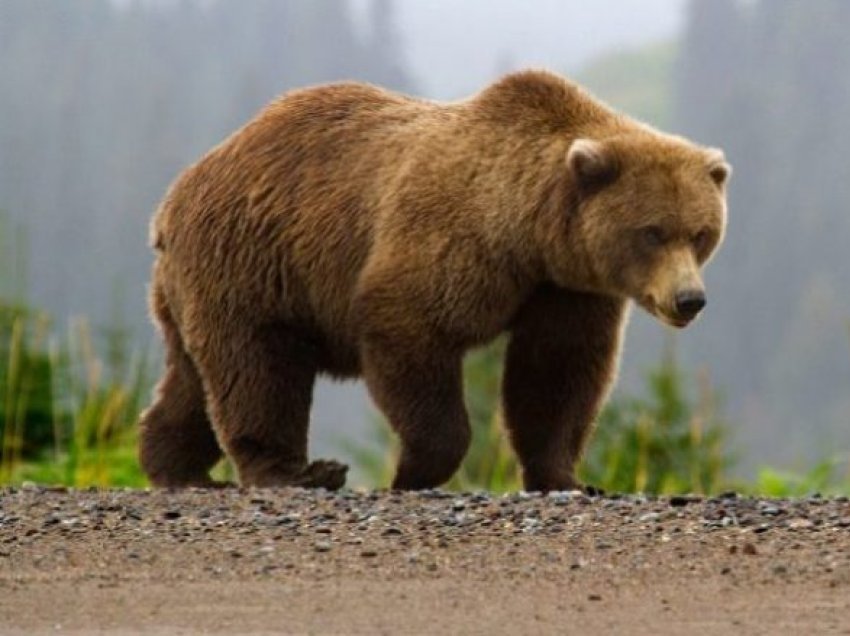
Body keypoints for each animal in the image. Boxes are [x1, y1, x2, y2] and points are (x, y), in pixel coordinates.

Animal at [137, 69, 728, 492]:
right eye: (652, 232)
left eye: (701, 233)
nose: (689, 299)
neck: (529, 233)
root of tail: (173, 198)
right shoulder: (452, 241)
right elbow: (410, 330)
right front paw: (413, 471)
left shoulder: (565, 289)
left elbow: (556, 373)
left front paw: (566, 477)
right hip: (253, 261)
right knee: (258, 369)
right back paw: (295, 472)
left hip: (200, 284)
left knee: (194, 377)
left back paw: (175, 466)